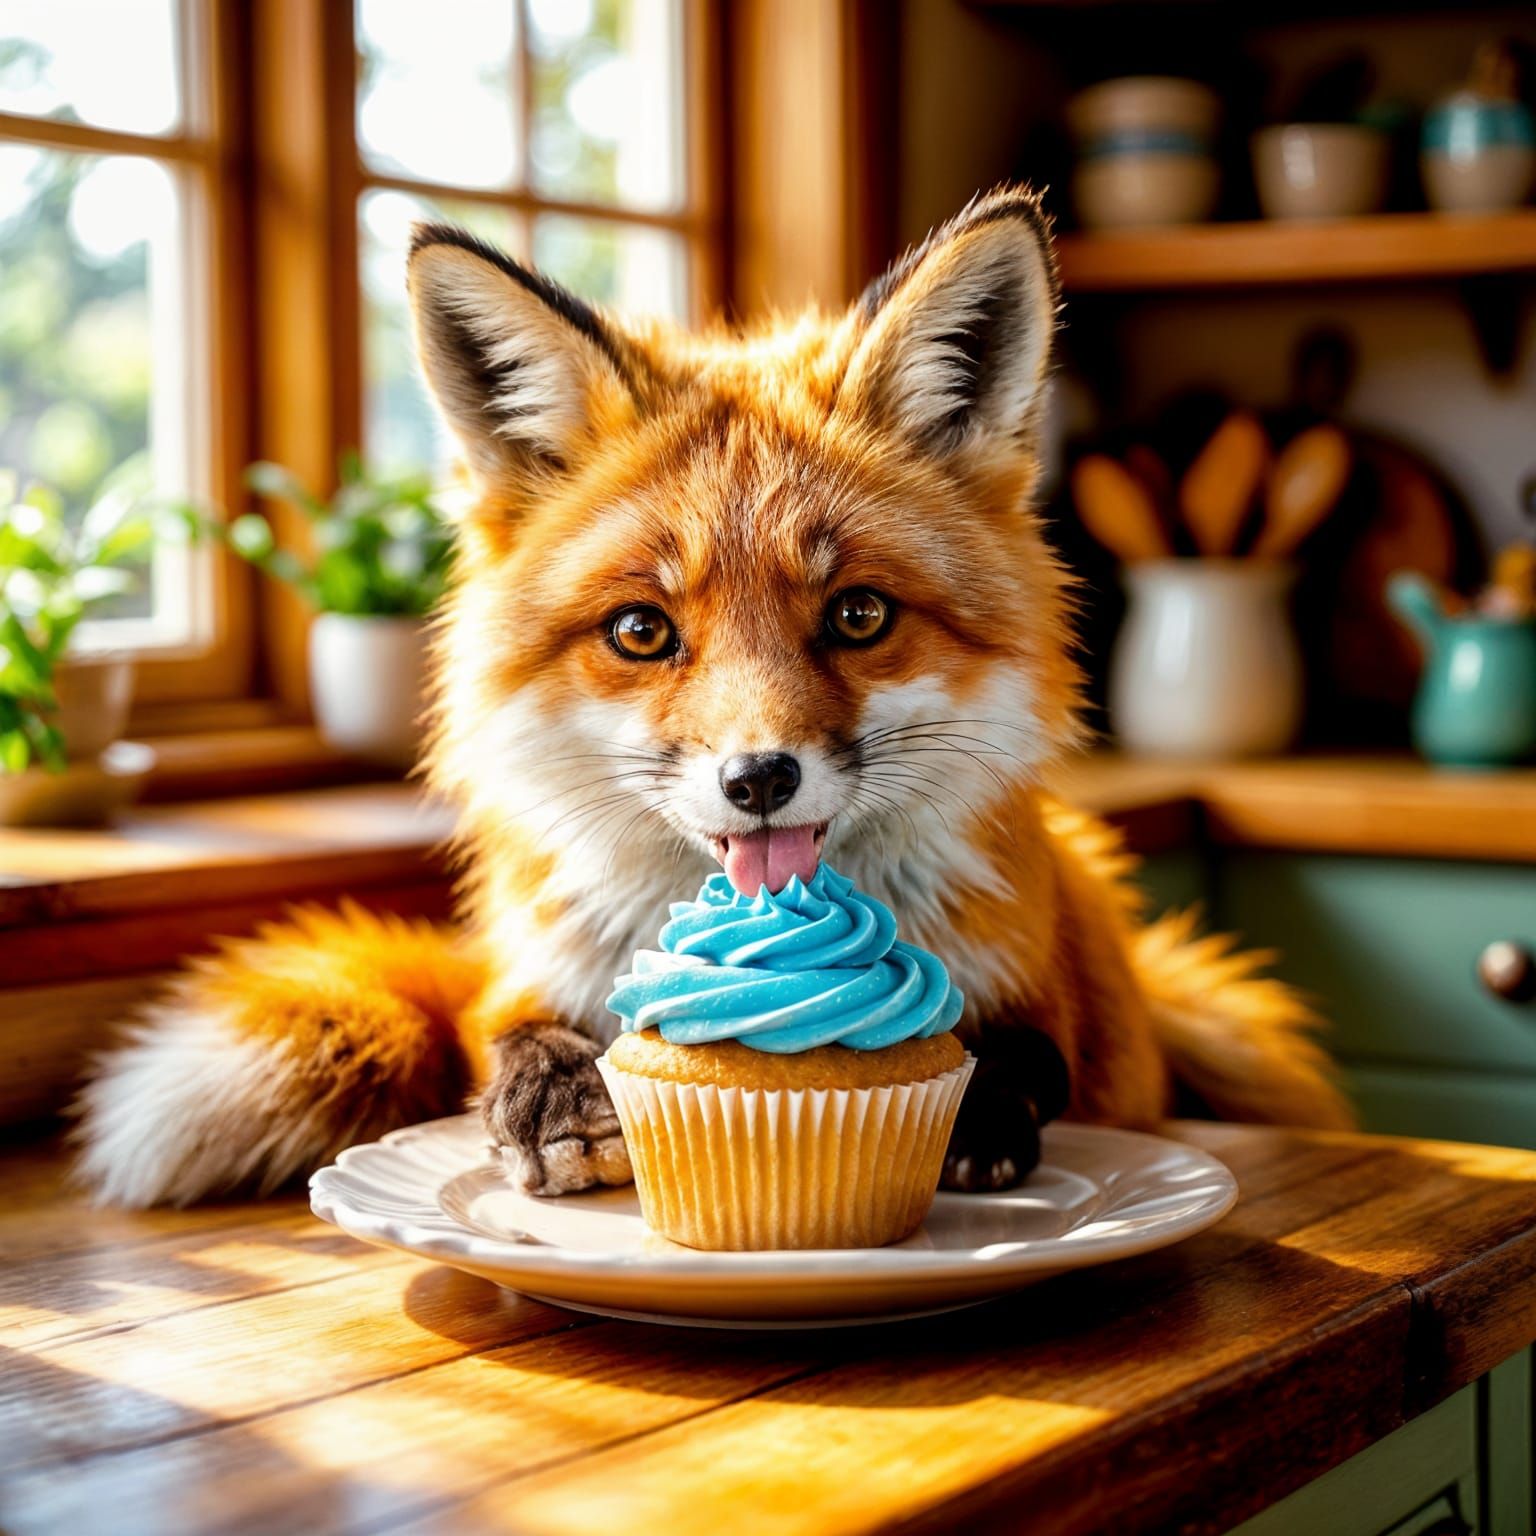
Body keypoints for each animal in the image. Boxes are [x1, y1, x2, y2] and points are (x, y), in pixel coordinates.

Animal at [76, 186, 1352, 1208]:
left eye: (859, 616)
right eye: (642, 631)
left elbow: (1023, 1052)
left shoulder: (1051, 1003)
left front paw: (981, 1109)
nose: (759, 777)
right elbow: (504, 1039)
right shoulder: (521, 977)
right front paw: (557, 1100)